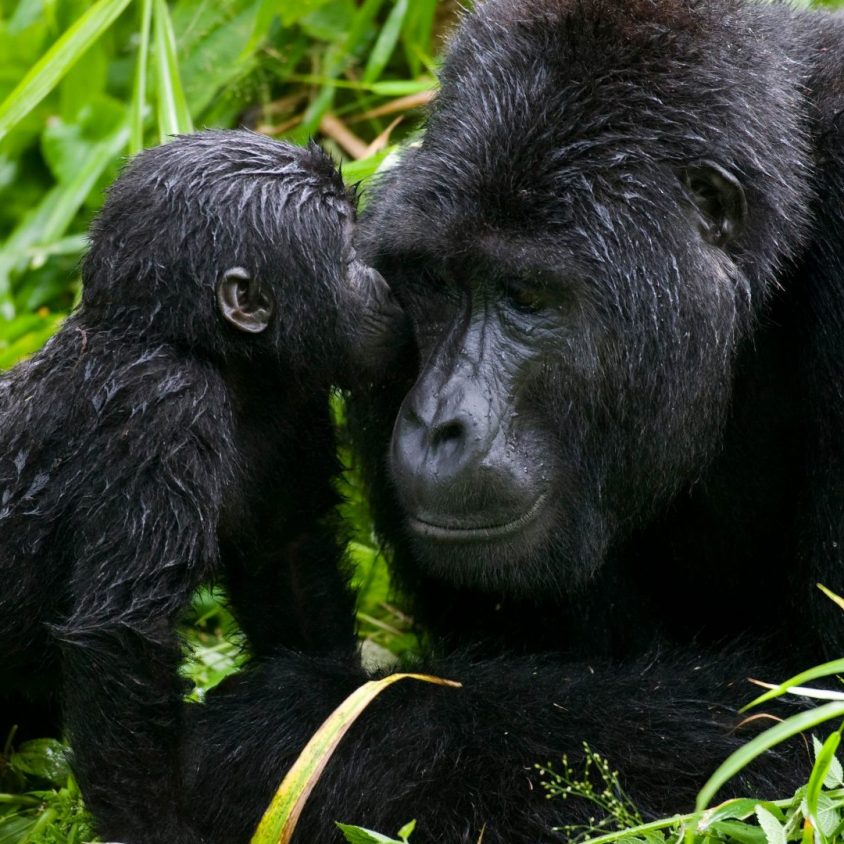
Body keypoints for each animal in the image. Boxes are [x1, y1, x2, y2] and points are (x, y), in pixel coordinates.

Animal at [0, 132, 400, 844]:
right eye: (349, 248)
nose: (385, 278)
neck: (202, 347)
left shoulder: (289, 394)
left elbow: (287, 557)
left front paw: (328, 717)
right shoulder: (164, 407)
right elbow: (122, 634)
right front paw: (154, 828)